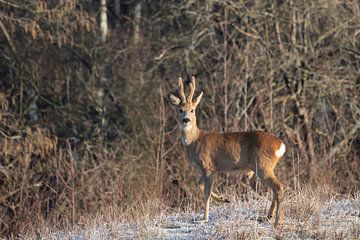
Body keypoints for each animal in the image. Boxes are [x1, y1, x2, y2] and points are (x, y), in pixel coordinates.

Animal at [169, 77, 286, 227]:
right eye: (180, 110)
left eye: (192, 110)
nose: (186, 120)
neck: (195, 140)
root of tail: (281, 145)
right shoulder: (207, 169)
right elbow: (199, 185)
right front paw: (224, 199)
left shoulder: (208, 166)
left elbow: (206, 192)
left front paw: (204, 218)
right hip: (266, 167)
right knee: (275, 190)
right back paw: (267, 217)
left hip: (263, 165)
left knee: (279, 187)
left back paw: (277, 222)